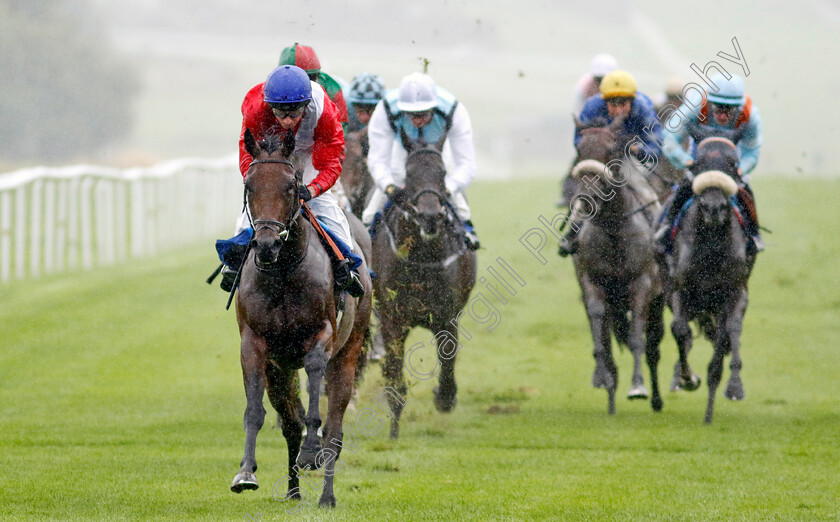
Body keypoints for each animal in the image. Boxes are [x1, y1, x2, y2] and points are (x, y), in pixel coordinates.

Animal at [231, 128, 372, 506]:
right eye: (249, 186)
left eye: (291, 187)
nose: (266, 244)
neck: (283, 271)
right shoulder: (255, 345)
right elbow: (254, 411)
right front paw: (246, 471)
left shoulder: (321, 336)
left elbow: (315, 397)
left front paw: (311, 451)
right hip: (279, 370)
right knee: (290, 423)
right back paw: (293, 490)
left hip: (348, 354)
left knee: (335, 430)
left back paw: (326, 495)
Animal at [374, 133, 480, 434]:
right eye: (409, 173)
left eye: (442, 172)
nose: (430, 216)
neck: (422, 256)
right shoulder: (392, 319)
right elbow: (395, 377)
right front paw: (394, 430)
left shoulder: (446, 316)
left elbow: (448, 360)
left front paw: (444, 397)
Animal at [568, 116, 668, 412]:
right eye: (579, 150)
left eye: (611, 150)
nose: (586, 200)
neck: (614, 229)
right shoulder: (592, 284)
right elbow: (600, 339)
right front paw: (603, 378)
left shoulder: (643, 285)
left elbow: (637, 340)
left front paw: (637, 387)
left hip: (658, 300)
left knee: (653, 346)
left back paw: (656, 399)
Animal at [664, 135, 756, 422]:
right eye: (699, 164)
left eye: (733, 165)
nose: (713, 208)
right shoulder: (680, 289)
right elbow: (680, 330)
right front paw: (687, 378)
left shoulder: (734, 292)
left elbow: (728, 335)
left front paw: (733, 387)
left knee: (724, 336)